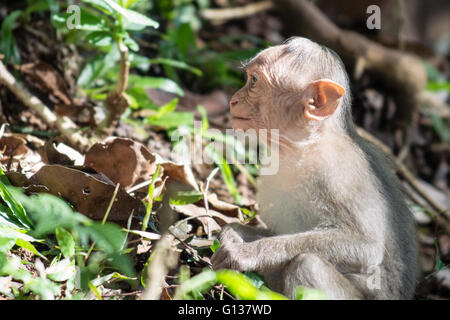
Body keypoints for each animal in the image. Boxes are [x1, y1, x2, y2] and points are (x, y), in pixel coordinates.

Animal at [211, 37, 418, 300]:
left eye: (254, 81)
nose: (233, 100)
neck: (305, 147)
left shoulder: (339, 173)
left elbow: (365, 247)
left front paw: (247, 253)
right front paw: (234, 232)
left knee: (307, 264)